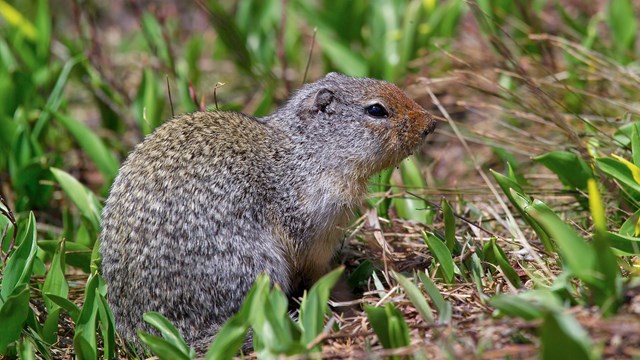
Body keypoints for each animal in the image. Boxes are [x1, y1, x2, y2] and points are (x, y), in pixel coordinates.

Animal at [100, 71, 438, 350]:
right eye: (376, 110)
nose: (431, 123)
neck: (308, 152)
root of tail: (142, 331)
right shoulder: (312, 219)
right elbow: (315, 266)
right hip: (251, 266)